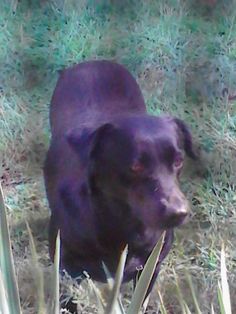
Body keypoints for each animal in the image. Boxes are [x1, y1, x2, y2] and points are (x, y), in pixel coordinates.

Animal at [43, 59, 196, 312]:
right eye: (136, 166)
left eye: (178, 161)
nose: (178, 213)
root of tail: (92, 61)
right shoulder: (64, 268)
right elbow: (67, 300)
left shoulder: (150, 268)